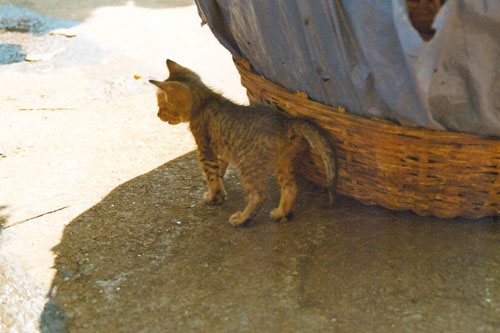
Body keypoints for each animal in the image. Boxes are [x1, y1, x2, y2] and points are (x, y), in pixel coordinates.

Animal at [148, 59, 336, 226]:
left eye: (161, 106)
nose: (157, 115)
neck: (205, 101)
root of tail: (284, 121)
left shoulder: (204, 148)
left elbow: (211, 174)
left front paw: (213, 197)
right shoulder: (220, 149)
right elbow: (219, 167)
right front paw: (218, 184)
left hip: (247, 162)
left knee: (260, 194)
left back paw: (243, 219)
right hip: (282, 161)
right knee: (290, 187)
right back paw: (280, 213)